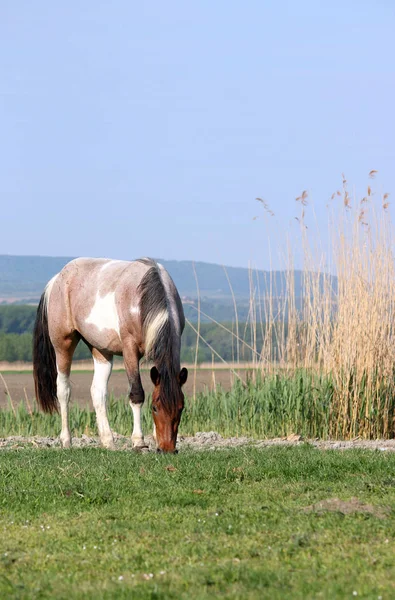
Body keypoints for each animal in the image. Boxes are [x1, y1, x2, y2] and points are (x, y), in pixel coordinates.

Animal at [31, 255, 189, 452]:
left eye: (181, 408)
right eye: (154, 408)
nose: (167, 449)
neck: (143, 298)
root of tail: (57, 279)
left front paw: (154, 438)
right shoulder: (130, 350)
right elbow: (137, 394)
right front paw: (139, 442)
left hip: (101, 351)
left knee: (98, 391)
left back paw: (108, 441)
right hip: (63, 344)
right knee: (63, 390)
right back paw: (66, 440)